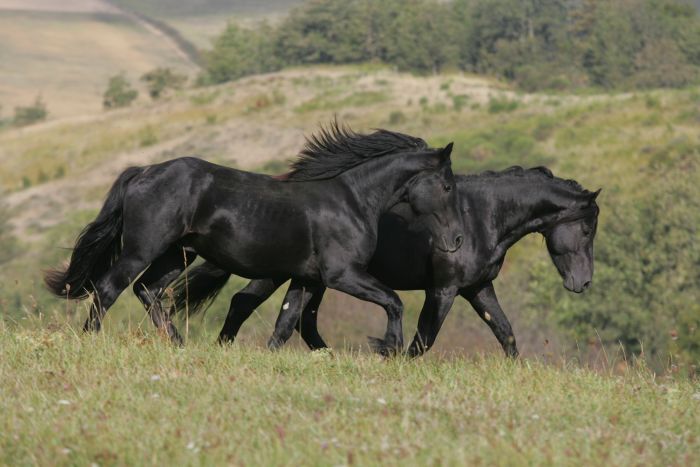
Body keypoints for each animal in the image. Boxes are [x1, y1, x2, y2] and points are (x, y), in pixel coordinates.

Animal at [46, 124, 468, 354]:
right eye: (448, 186)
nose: (457, 240)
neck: (352, 200)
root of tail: (144, 171)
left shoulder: (306, 278)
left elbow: (285, 323)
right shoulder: (341, 275)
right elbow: (393, 301)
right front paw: (388, 348)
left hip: (175, 254)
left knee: (147, 291)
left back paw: (179, 344)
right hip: (142, 249)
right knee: (108, 289)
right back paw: (90, 340)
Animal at [172, 166, 600, 356]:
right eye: (587, 229)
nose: (582, 283)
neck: (479, 216)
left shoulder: (478, 288)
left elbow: (505, 332)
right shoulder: (443, 290)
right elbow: (424, 339)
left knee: (290, 317)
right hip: (283, 272)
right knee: (247, 304)